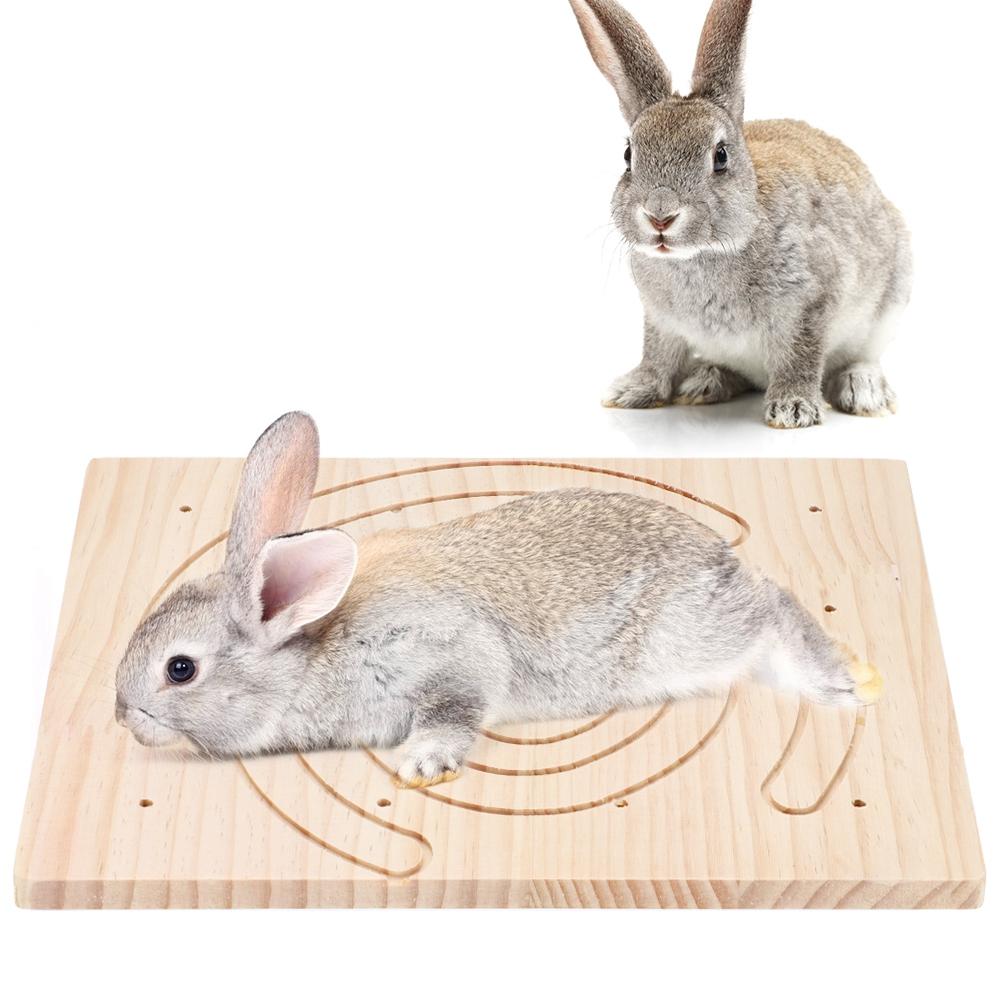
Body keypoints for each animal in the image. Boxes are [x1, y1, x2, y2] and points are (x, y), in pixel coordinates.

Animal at [116, 412, 883, 788]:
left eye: (179, 669)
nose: (124, 718)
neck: (309, 648)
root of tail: (718, 557)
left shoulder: (446, 653)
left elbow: (455, 710)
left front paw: (424, 763)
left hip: (696, 635)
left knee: (774, 606)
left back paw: (843, 681)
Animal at [568, 0, 912, 428]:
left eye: (720, 156)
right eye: (629, 155)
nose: (660, 216)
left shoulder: (811, 304)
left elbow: (801, 357)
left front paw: (793, 409)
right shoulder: (661, 322)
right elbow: (658, 355)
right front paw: (632, 390)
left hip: (890, 301)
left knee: (862, 358)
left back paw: (863, 390)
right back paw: (706, 381)